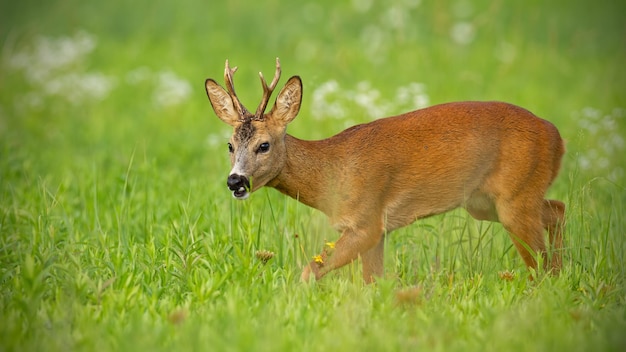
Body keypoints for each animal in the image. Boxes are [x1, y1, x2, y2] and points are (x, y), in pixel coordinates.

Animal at [206, 58, 564, 284]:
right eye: (229, 145)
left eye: (264, 145)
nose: (235, 181)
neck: (331, 173)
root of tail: (558, 138)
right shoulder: (377, 230)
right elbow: (372, 282)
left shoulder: (367, 221)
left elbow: (310, 271)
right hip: (486, 203)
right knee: (557, 210)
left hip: (515, 196)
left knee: (539, 262)